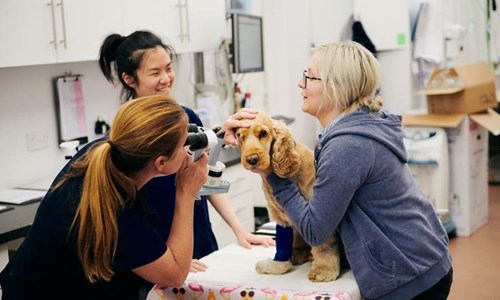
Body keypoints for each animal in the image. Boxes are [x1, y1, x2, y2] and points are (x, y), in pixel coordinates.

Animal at [236, 112, 342, 282]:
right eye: (239, 136)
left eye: (263, 133)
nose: (252, 159)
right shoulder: (281, 217)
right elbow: (282, 242)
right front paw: (276, 266)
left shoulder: (321, 219)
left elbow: (324, 246)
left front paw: (323, 270)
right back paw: (298, 253)